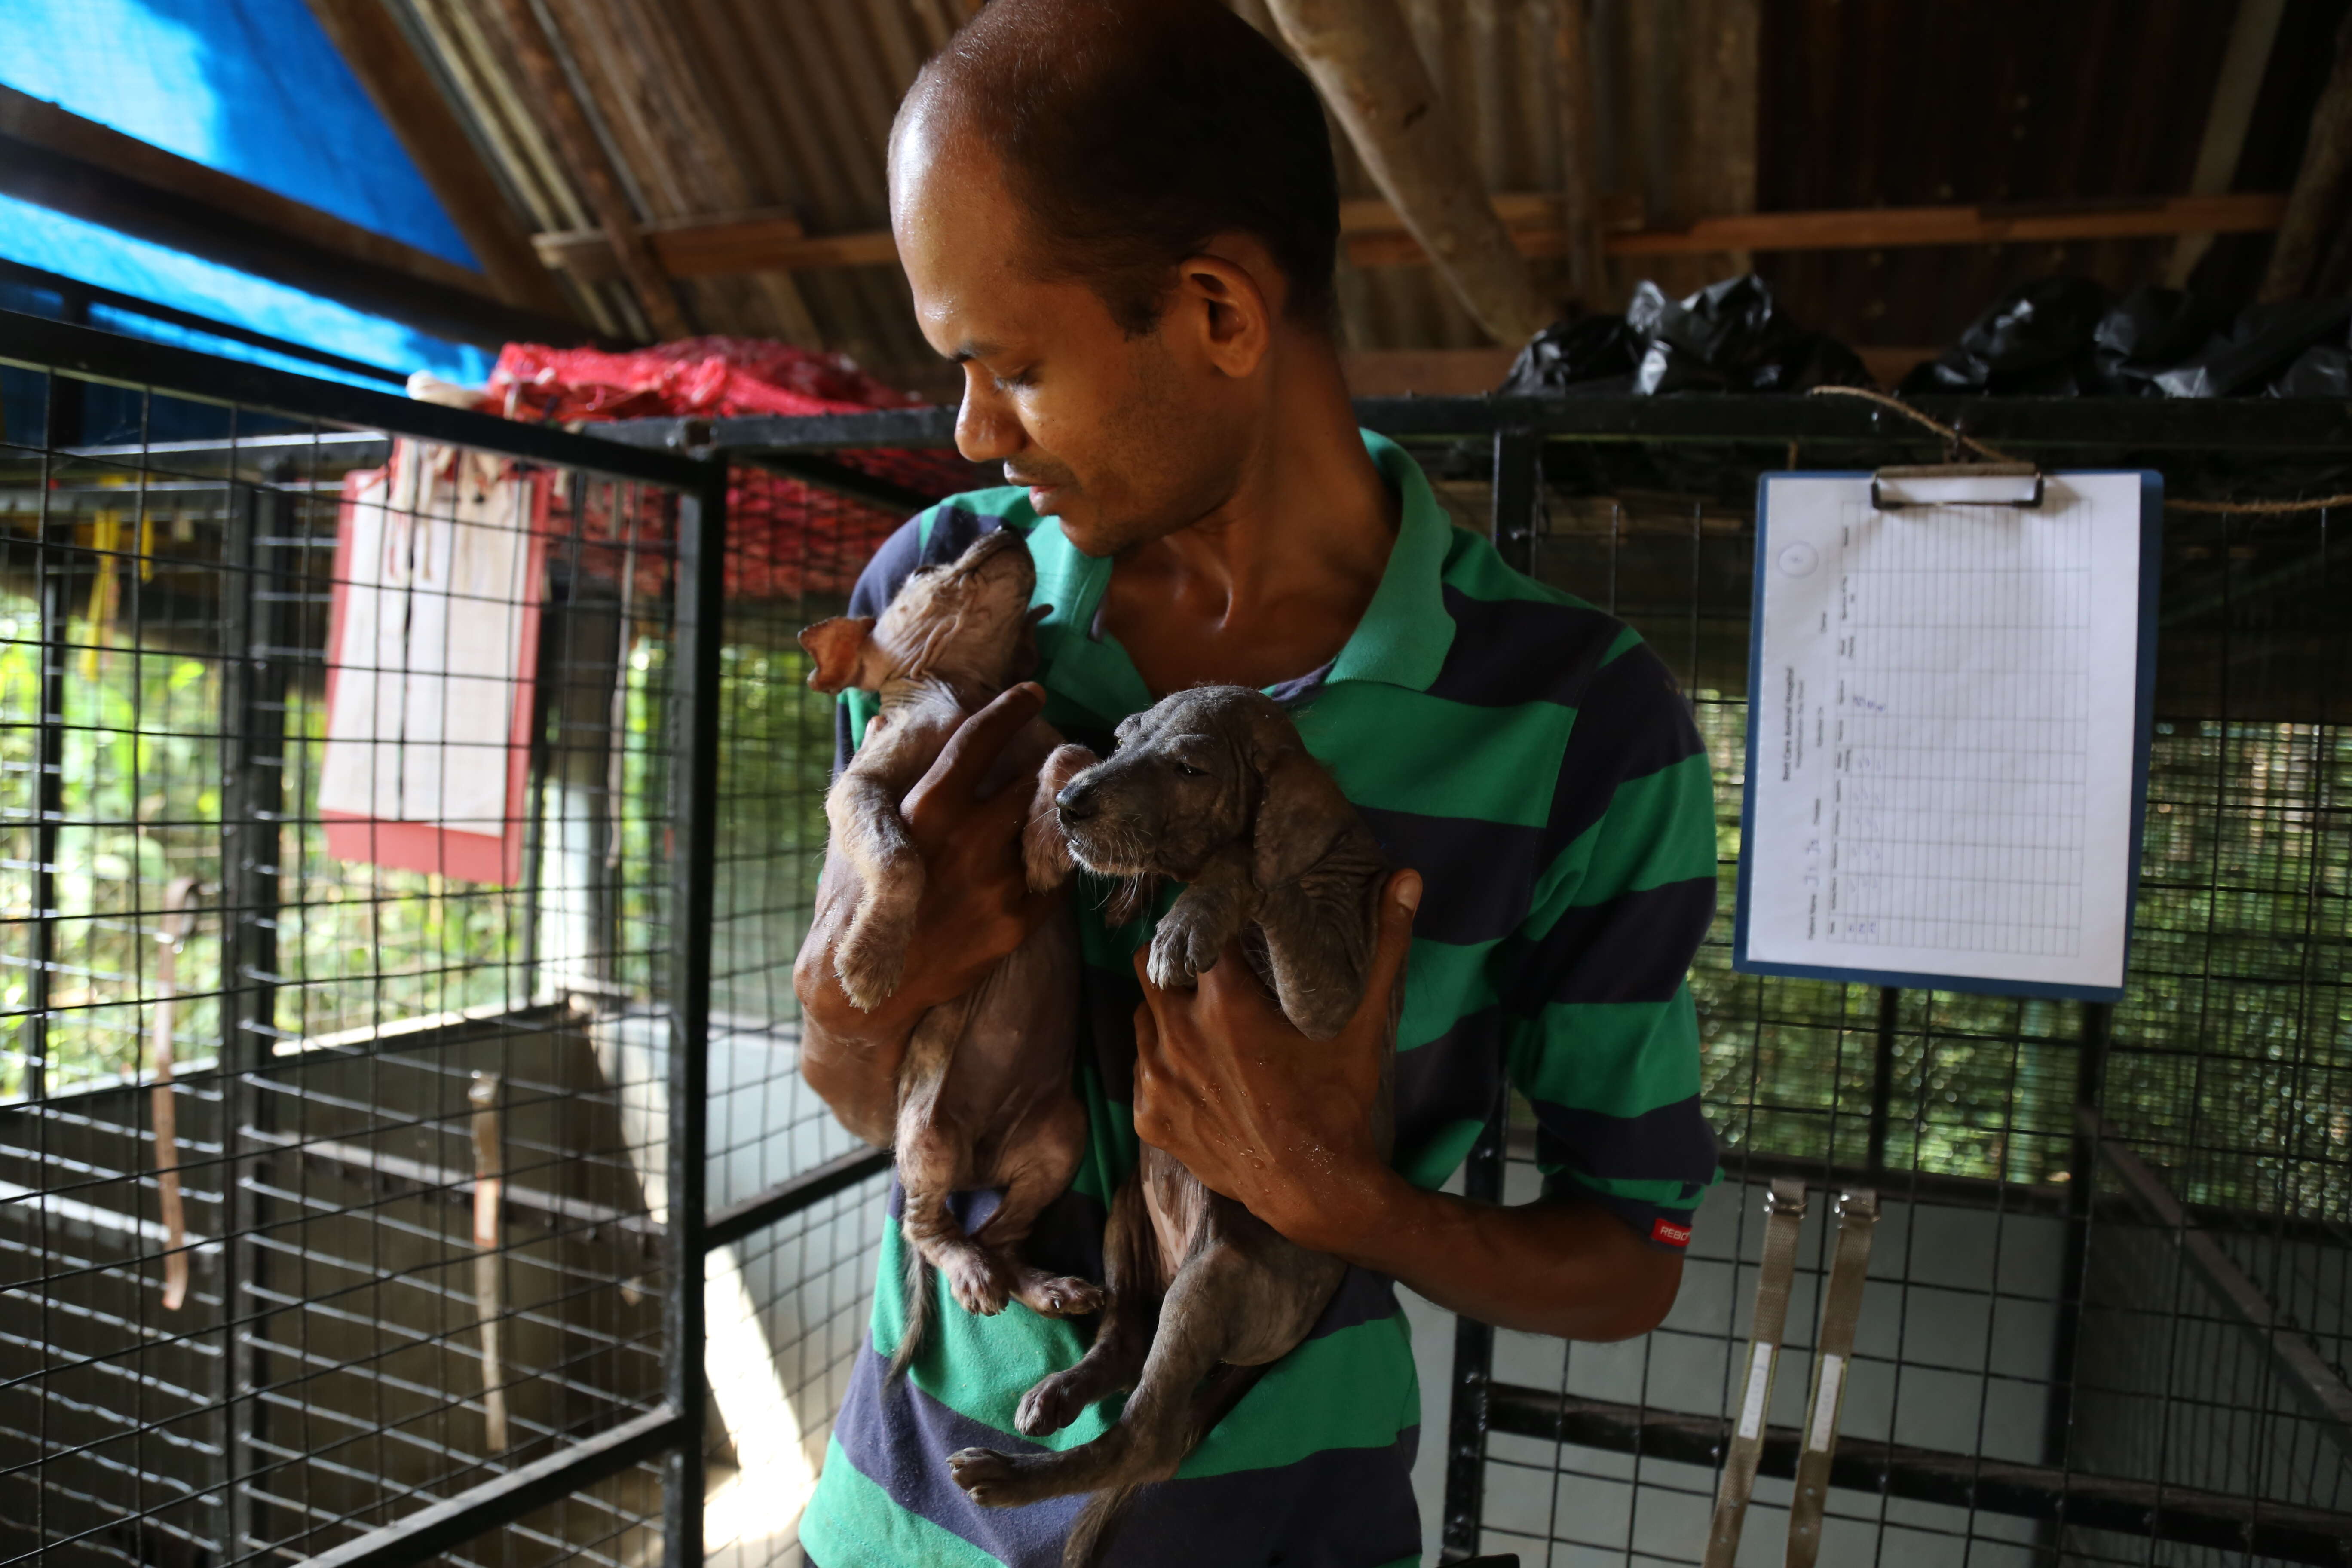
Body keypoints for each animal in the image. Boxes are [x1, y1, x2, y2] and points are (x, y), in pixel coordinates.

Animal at [799, 531, 1100, 1382]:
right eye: (929, 570)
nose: (1007, 533)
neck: (967, 692)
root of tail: (977, 1166)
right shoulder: (861, 785)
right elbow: (897, 852)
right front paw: (870, 960)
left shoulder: (1047, 732)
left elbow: (1068, 754)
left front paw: (1044, 844)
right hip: (929, 1137)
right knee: (929, 1231)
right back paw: (967, 1267)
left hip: (1058, 1140)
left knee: (1002, 1237)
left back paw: (1041, 1282)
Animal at [945, 686, 1392, 1568]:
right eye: (1119, 741)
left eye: (1189, 768)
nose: (1069, 803)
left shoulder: (1331, 1000)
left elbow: (1248, 867)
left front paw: (1192, 918)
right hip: (1131, 1211)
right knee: (1124, 1340)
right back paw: (1059, 1392)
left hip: (1216, 1280)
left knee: (1148, 1440)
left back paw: (1012, 1478)